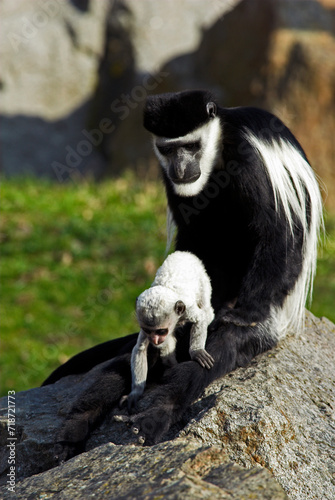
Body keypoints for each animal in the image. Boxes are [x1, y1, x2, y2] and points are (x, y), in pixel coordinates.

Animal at [123, 252, 215, 412]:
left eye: (161, 331)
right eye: (149, 331)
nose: (155, 340)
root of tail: (184, 253)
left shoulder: (188, 309)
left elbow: (200, 319)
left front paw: (196, 351)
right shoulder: (144, 326)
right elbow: (140, 349)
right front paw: (136, 392)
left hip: (203, 280)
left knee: (207, 310)